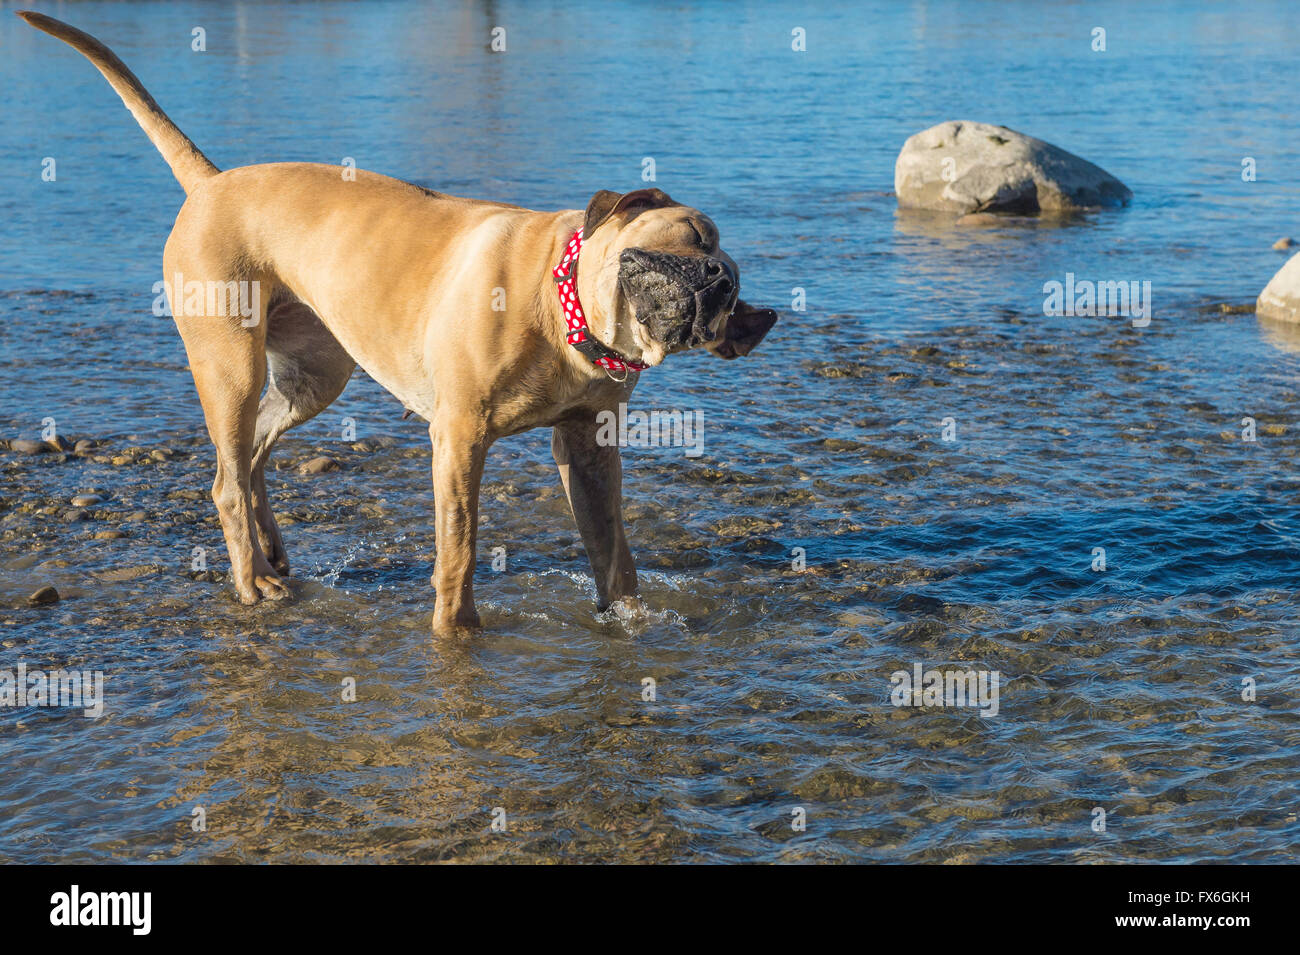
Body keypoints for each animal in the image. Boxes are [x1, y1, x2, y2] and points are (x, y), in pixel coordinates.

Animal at [20, 13, 774, 634]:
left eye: (730, 280)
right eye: (694, 237)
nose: (725, 281)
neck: (558, 304)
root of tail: (210, 181)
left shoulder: (589, 448)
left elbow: (614, 551)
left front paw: (630, 620)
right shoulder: (459, 437)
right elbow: (460, 551)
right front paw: (456, 632)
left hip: (313, 377)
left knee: (254, 454)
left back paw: (273, 555)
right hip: (228, 366)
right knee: (225, 483)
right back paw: (252, 583)